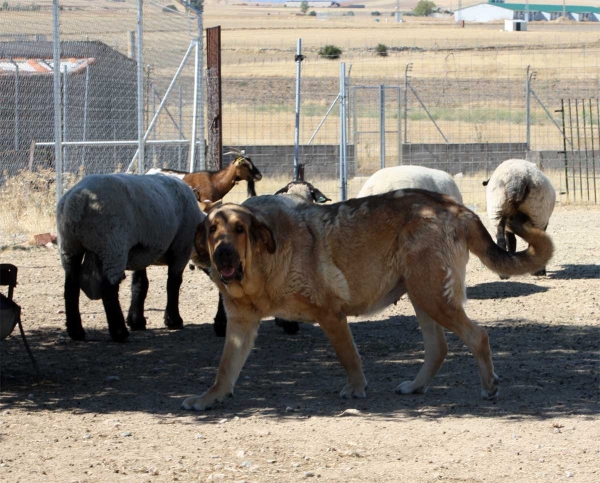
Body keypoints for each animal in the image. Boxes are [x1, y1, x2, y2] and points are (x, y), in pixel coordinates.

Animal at [183, 191, 552, 410]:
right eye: (212, 229)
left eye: (240, 229)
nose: (224, 253)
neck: (264, 263)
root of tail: (456, 207)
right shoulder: (240, 326)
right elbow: (225, 368)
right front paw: (209, 398)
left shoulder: (331, 315)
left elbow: (349, 357)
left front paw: (356, 389)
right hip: (422, 296)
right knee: (439, 348)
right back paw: (416, 387)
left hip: (433, 297)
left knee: (479, 336)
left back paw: (489, 387)